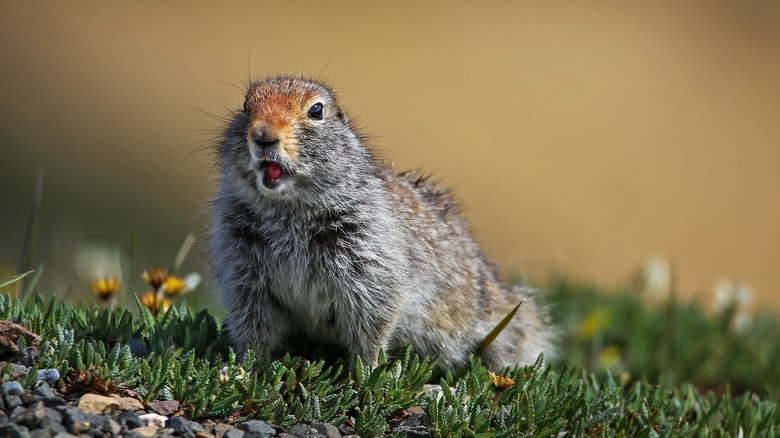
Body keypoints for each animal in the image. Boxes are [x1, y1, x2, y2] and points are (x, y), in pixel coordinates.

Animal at [209, 76, 555, 371]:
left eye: (316, 110)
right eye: (245, 105)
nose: (262, 135)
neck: (288, 212)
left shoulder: (369, 263)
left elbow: (373, 323)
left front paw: (366, 373)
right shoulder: (244, 271)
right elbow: (253, 325)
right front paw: (247, 369)